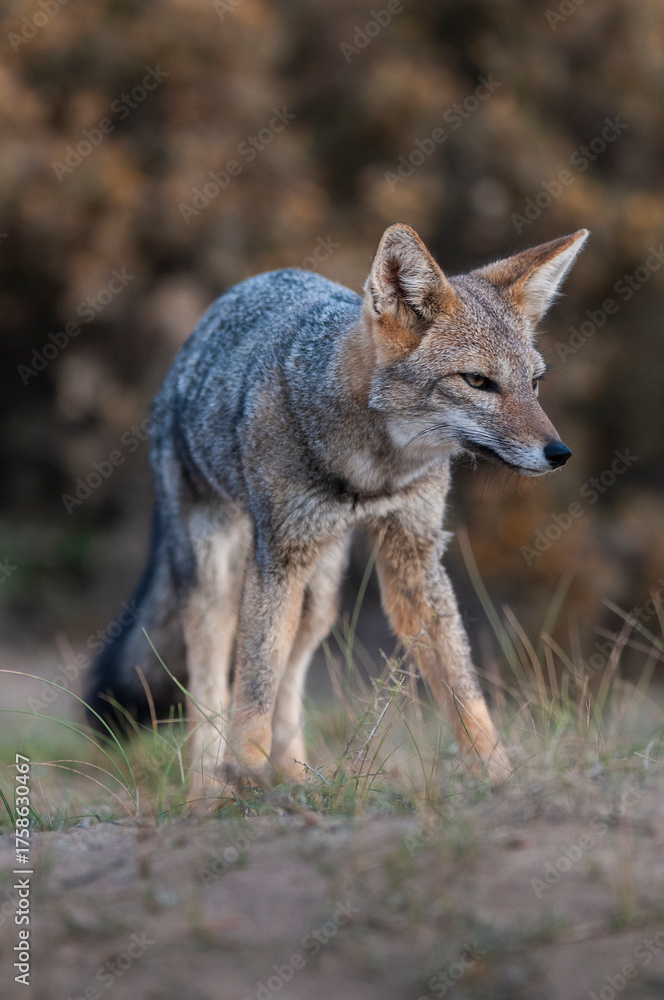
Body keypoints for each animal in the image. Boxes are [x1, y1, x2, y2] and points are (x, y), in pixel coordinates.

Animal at [86, 223, 588, 798]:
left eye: (535, 384)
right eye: (478, 381)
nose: (560, 453)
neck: (372, 473)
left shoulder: (414, 558)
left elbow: (464, 692)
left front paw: (498, 779)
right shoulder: (278, 560)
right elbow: (253, 689)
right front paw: (244, 785)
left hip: (319, 598)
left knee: (290, 677)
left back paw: (294, 779)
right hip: (221, 579)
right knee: (211, 689)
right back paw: (210, 791)